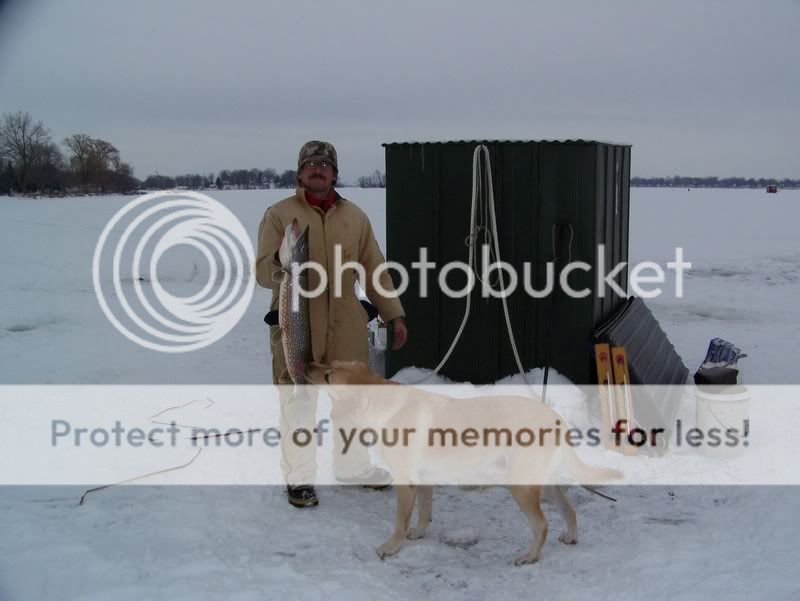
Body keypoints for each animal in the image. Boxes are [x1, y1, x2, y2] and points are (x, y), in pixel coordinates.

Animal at [304, 360, 620, 564]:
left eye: (329, 375)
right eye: (328, 361)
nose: (306, 363)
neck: (385, 406)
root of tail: (555, 418)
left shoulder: (406, 482)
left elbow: (399, 521)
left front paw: (392, 547)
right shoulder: (424, 480)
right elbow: (424, 512)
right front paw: (418, 533)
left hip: (521, 486)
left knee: (542, 525)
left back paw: (530, 556)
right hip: (544, 482)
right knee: (569, 509)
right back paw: (571, 537)